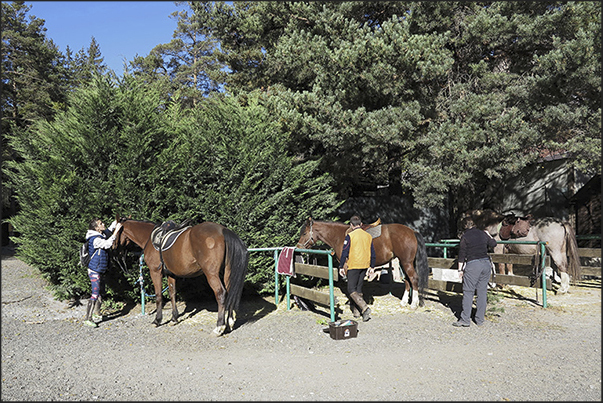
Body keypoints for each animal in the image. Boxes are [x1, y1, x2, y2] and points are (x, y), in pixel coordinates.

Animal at [114, 219, 249, 336]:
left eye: (114, 230)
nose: (113, 248)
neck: (150, 238)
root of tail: (223, 230)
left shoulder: (155, 272)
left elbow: (158, 296)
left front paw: (157, 320)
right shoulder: (171, 274)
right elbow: (172, 293)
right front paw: (174, 319)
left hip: (211, 274)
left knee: (221, 293)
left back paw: (219, 327)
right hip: (227, 271)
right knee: (230, 292)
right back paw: (230, 323)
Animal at [296, 218, 430, 310]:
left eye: (304, 233)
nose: (298, 247)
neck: (340, 236)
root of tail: (412, 231)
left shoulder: (347, 266)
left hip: (406, 263)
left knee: (413, 278)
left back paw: (413, 304)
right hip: (404, 263)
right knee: (407, 280)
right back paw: (403, 302)